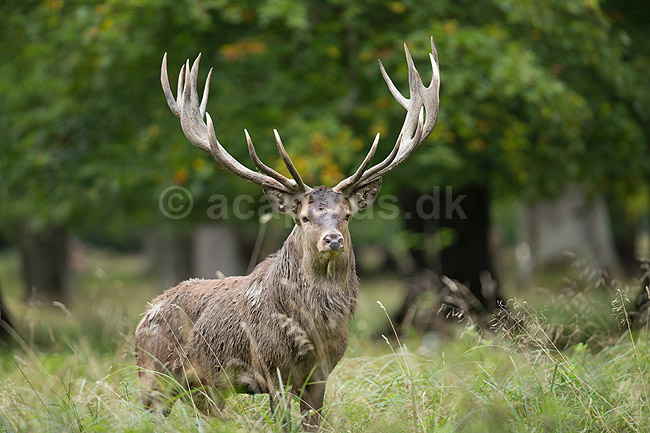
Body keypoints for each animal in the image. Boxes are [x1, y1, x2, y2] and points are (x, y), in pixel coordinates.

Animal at [135, 37, 440, 431]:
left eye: (346, 215)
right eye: (305, 217)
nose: (332, 239)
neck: (315, 329)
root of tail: (144, 315)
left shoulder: (322, 373)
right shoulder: (270, 368)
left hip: (204, 390)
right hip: (152, 378)